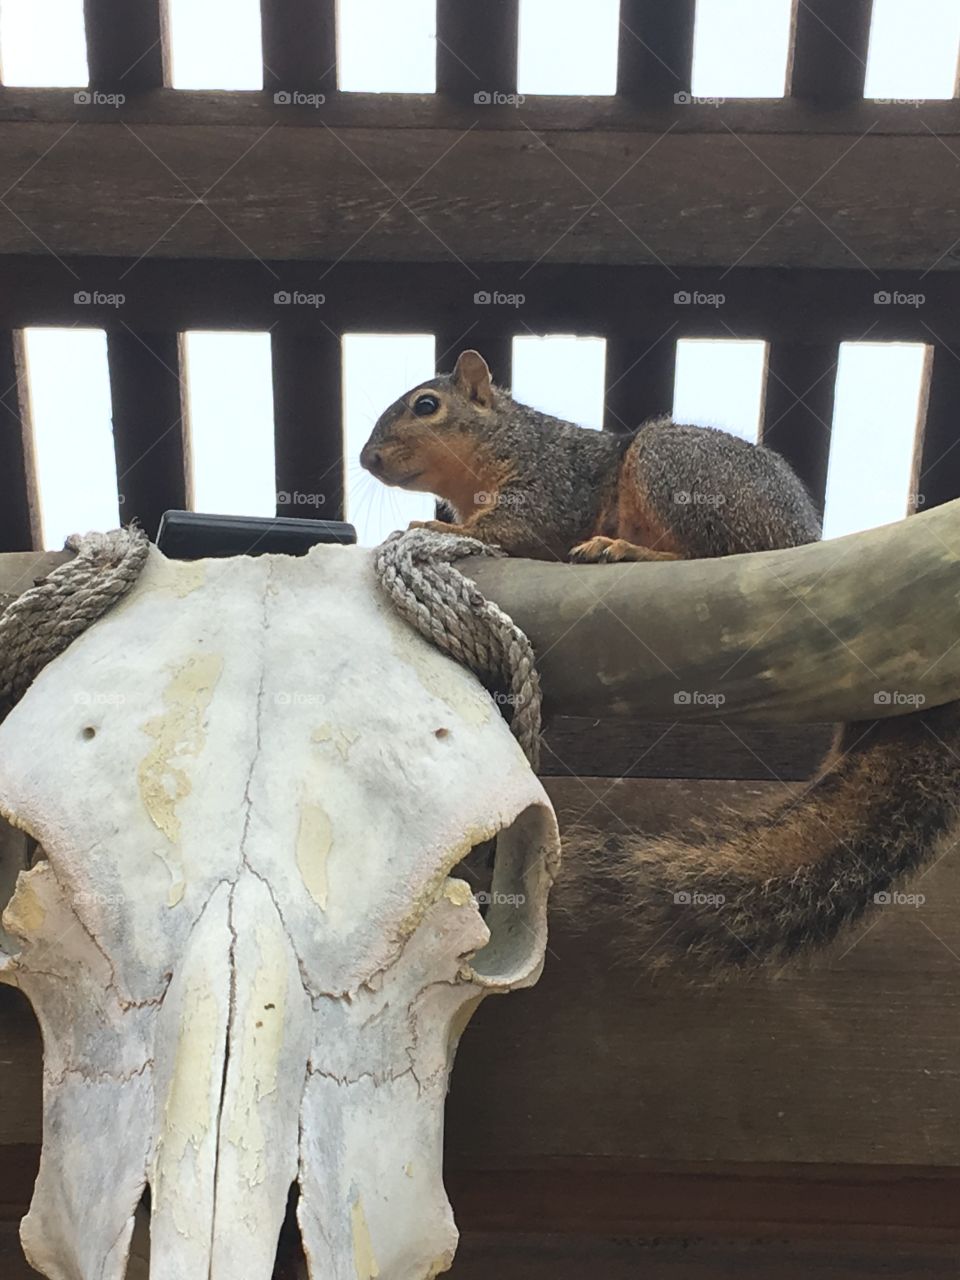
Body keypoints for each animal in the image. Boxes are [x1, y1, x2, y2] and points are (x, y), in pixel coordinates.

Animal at [361, 349, 960, 971]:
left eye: (426, 406)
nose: (367, 458)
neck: (506, 441)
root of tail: (806, 539)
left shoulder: (551, 486)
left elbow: (519, 526)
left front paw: (435, 524)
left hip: (674, 468)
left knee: (714, 554)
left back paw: (622, 549)